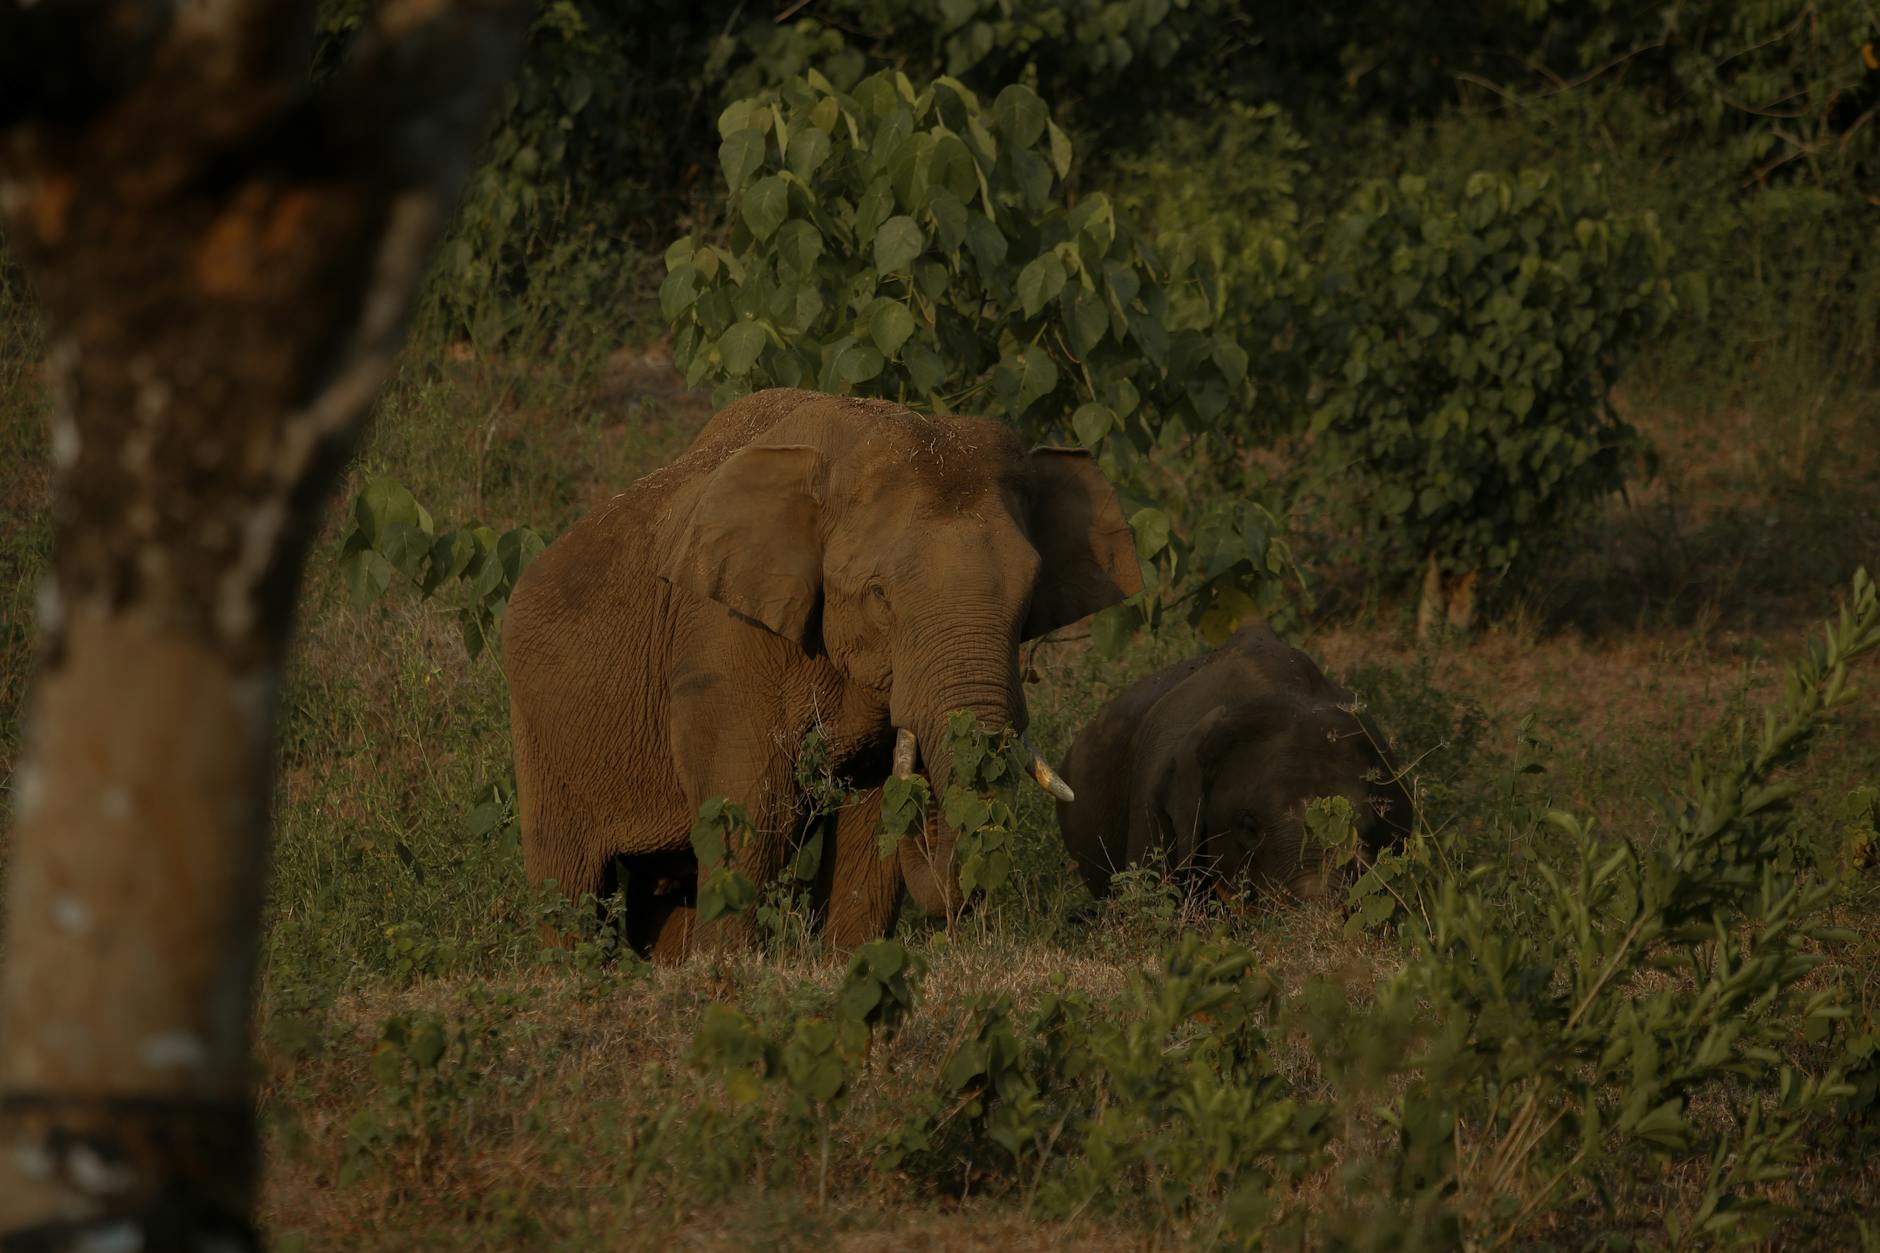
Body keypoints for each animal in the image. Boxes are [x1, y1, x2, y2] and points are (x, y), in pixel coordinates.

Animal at [502, 387, 1141, 959]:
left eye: (1029, 595)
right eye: (879, 594)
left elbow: (869, 821)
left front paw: (850, 966)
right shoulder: (721, 631)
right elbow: (753, 808)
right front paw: (725, 975)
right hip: (541, 731)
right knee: (568, 879)